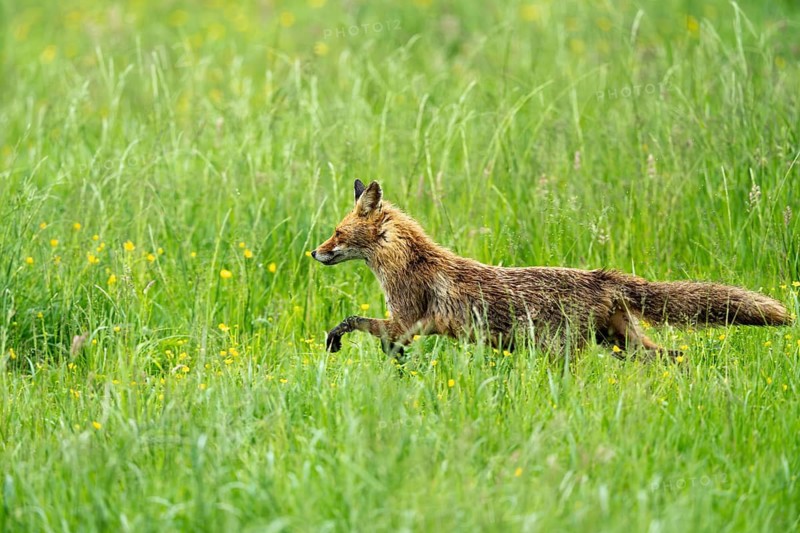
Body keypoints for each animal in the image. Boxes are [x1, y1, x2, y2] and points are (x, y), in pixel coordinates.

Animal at [312, 179, 792, 359]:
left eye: (337, 232)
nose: (313, 252)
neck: (410, 262)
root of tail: (601, 276)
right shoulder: (409, 327)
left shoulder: (407, 322)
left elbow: (352, 321)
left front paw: (337, 341)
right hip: (621, 343)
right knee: (677, 357)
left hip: (572, 351)